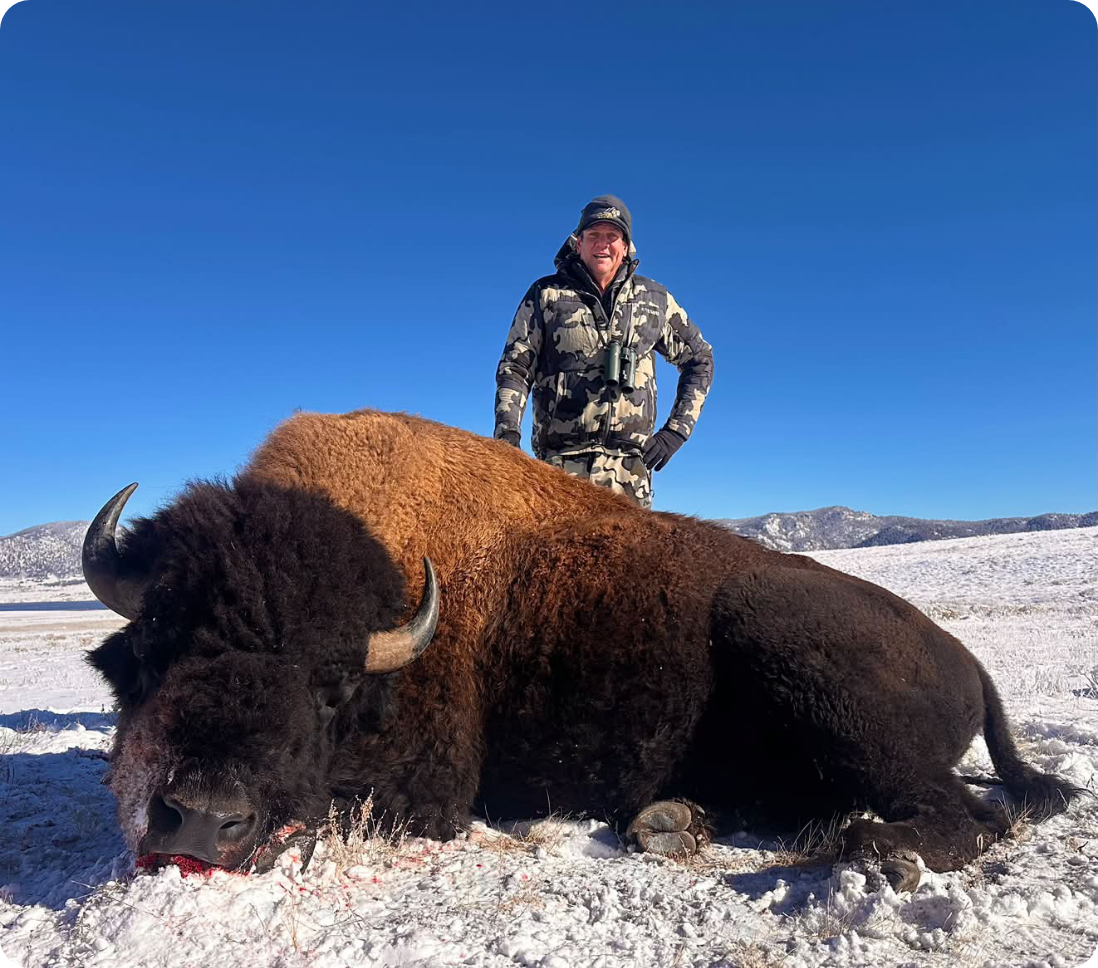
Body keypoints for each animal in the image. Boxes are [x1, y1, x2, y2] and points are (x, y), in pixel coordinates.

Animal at [83, 409, 1077, 889]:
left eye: (328, 689)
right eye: (157, 645)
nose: (201, 819)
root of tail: (966, 658)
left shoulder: (428, 788)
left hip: (804, 661)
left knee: (969, 815)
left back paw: (872, 850)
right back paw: (672, 821)